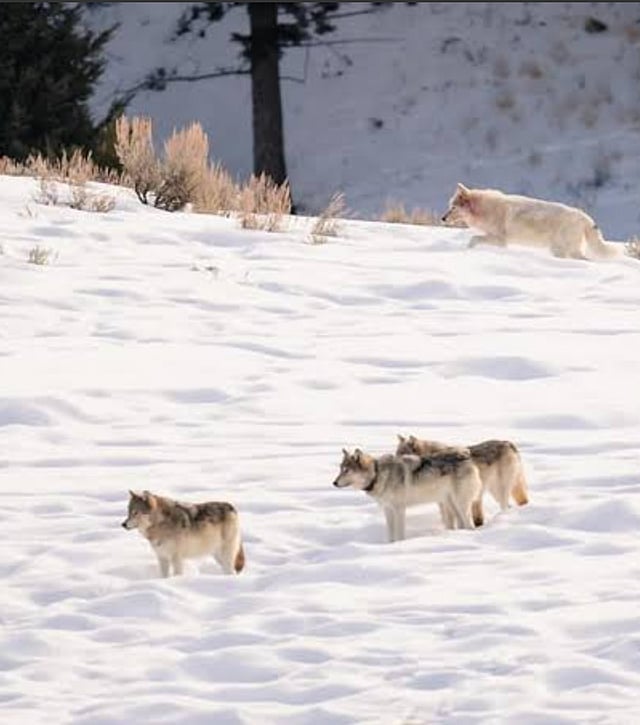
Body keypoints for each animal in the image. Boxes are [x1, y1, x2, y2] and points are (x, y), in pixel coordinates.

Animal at [332, 447, 482, 541]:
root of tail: (466, 456)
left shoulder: (399, 509)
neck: (377, 475)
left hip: (460, 504)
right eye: (340, 469)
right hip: (450, 504)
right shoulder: (388, 509)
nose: (334, 483)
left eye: (346, 470)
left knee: (470, 525)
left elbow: (399, 533)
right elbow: (391, 533)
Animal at [396, 435, 529, 526]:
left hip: (498, 492)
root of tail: (508, 443)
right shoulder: (444, 502)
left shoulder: (446, 503)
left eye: (402, 456)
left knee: (506, 506)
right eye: (396, 454)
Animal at [441, 183, 622, 260]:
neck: (485, 209)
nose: (442, 218)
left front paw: (466, 250)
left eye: (453, 208)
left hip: (565, 250)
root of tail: (584, 216)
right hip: (560, 250)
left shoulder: (500, 240)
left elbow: (473, 240)